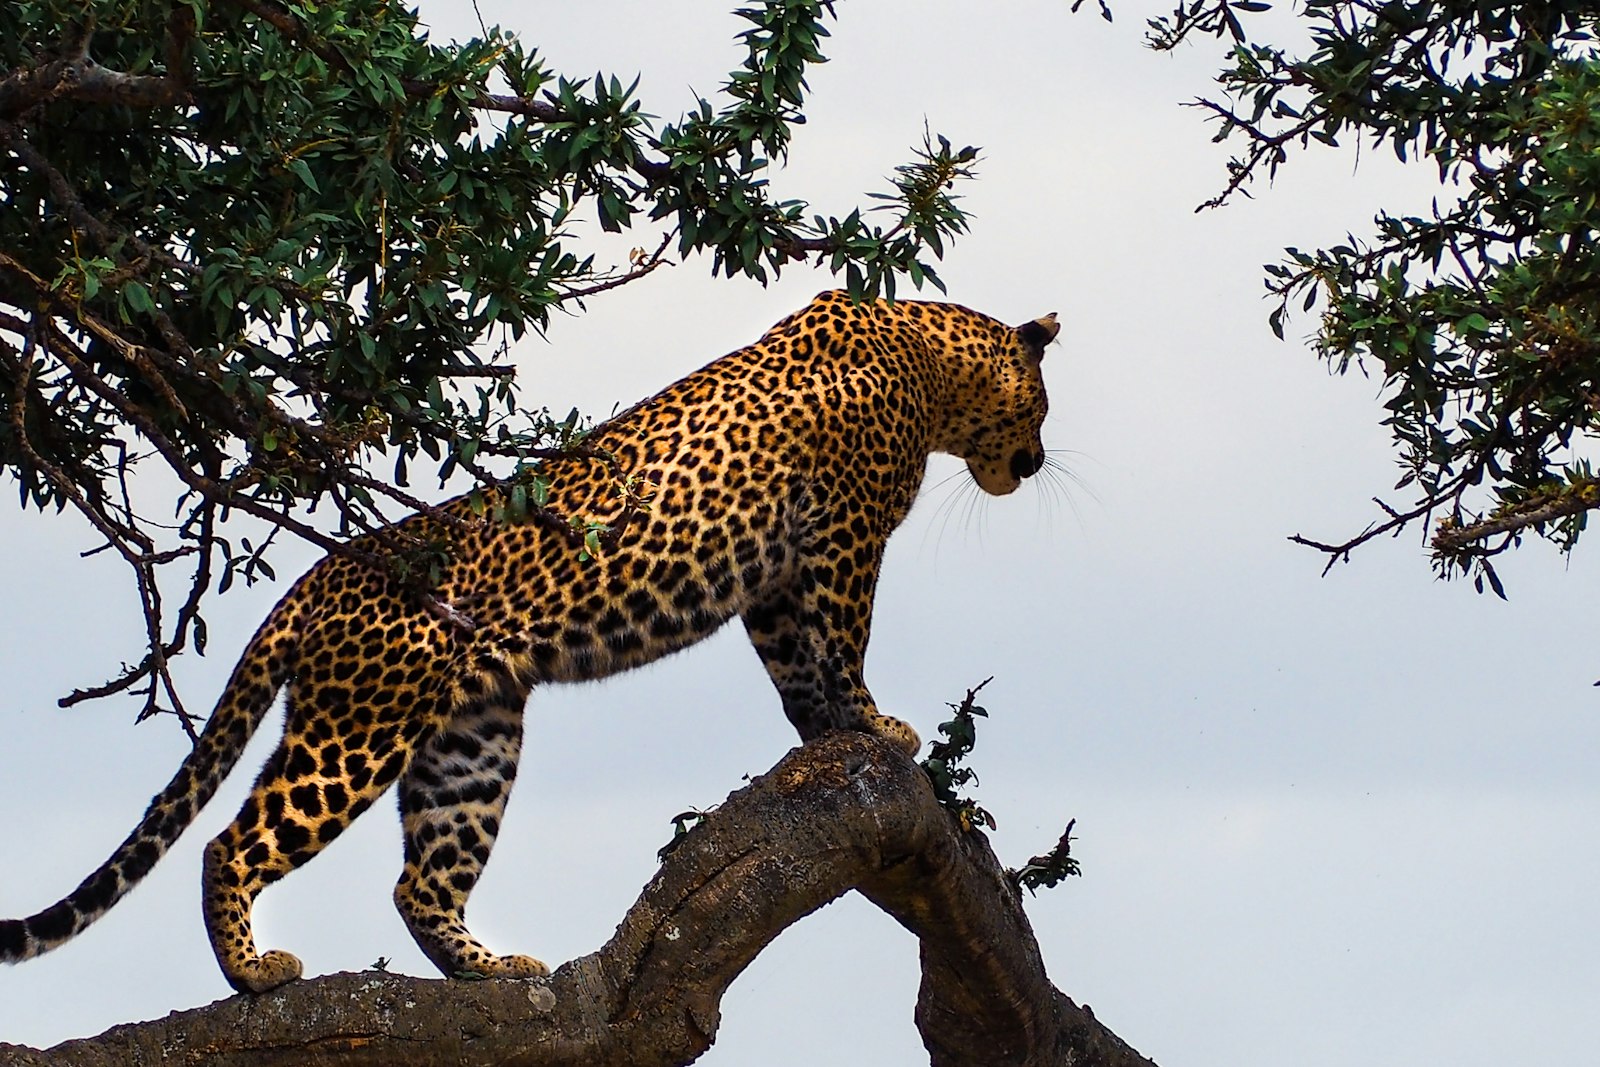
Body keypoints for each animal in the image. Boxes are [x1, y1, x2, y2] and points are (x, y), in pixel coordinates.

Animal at [0, 290, 1059, 994]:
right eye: (1045, 407)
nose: (1039, 460)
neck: (930, 358)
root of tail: (319, 577)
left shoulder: (772, 580)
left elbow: (798, 669)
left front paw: (825, 735)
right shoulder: (844, 538)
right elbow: (843, 641)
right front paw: (878, 725)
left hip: (471, 738)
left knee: (418, 880)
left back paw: (490, 968)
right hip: (357, 729)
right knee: (234, 840)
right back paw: (255, 972)